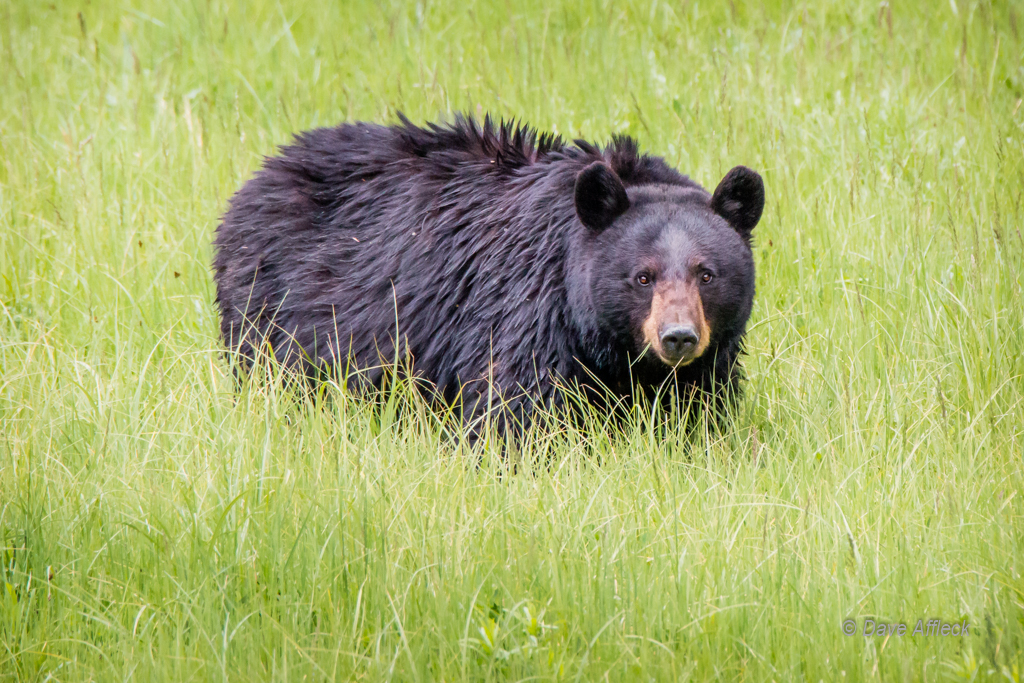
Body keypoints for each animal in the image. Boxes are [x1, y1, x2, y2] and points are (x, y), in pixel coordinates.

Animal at [211, 114, 765, 436]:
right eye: (642, 277)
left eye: (707, 274)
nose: (678, 337)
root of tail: (260, 174)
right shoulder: (525, 311)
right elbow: (516, 410)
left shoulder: (704, 366)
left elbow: (696, 413)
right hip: (271, 310)